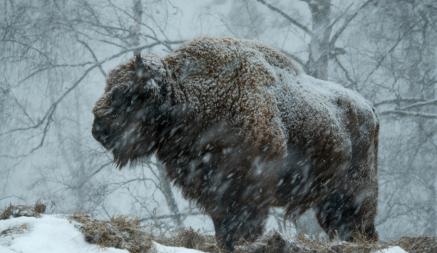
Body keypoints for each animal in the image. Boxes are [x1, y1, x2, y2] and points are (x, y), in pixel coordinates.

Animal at [91, 37, 378, 251]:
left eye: (127, 92)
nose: (98, 130)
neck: (190, 97)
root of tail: (369, 110)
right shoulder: (215, 194)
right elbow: (223, 229)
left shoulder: (246, 194)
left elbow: (241, 229)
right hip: (329, 199)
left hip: (354, 192)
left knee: (358, 225)